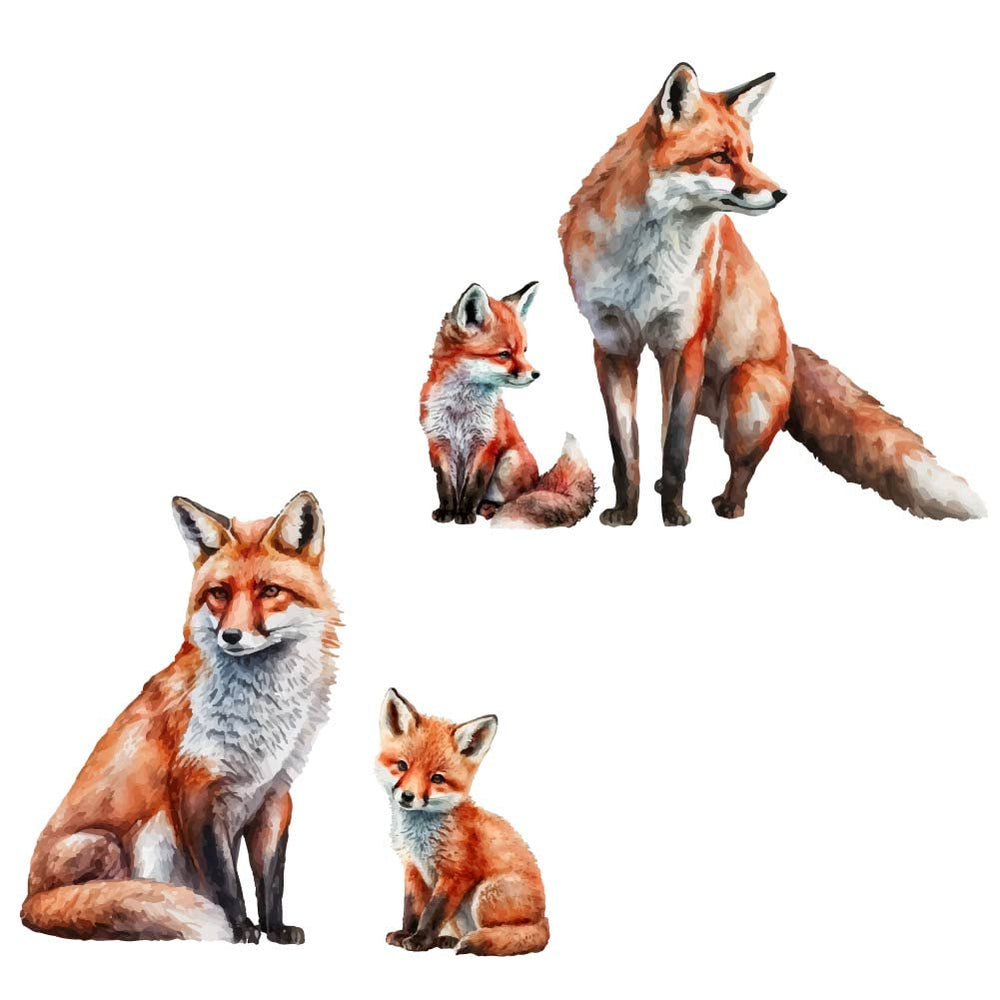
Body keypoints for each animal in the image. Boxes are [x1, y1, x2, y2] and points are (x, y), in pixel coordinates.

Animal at [21, 492, 340, 943]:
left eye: (270, 591)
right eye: (219, 593)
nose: (231, 636)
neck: (262, 718)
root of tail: (27, 900)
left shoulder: (276, 795)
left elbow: (270, 879)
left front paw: (275, 929)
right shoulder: (195, 789)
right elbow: (225, 879)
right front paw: (241, 929)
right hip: (111, 842)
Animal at [376, 689, 549, 957]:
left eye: (437, 778)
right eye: (402, 766)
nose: (407, 796)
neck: (419, 836)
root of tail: (544, 922)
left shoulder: (457, 873)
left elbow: (432, 912)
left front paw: (419, 940)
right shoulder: (413, 868)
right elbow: (412, 908)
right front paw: (406, 933)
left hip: (485, 894)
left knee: (510, 935)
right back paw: (447, 940)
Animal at [420, 280, 596, 528]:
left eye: (524, 350)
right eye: (504, 354)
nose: (536, 374)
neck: (460, 410)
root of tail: (537, 483)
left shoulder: (487, 444)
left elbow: (473, 488)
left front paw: (464, 514)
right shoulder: (438, 442)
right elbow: (444, 486)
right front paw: (447, 512)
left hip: (509, 462)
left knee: (512, 500)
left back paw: (488, 508)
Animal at [560, 63, 986, 525]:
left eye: (750, 155)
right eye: (721, 157)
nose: (780, 193)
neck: (642, 261)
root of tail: (791, 356)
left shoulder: (685, 343)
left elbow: (676, 451)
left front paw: (673, 514)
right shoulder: (613, 345)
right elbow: (626, 451)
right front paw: (626, 511)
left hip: (745, 394)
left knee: (743, 464)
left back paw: (729, 506)